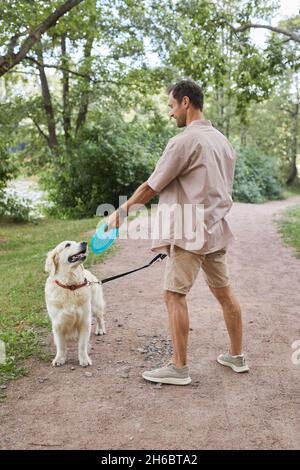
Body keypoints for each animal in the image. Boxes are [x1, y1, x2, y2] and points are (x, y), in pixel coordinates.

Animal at [44, 239, 105, 368]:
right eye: (67, 245)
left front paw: (84, 359)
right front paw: (59, 359)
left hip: (96, 306)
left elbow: (82, 345)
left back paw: (100, 329)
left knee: (100, 317)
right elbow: (61, 345)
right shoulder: (57, 324)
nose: (84, 242)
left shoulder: (84, 321)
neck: (70, 286)